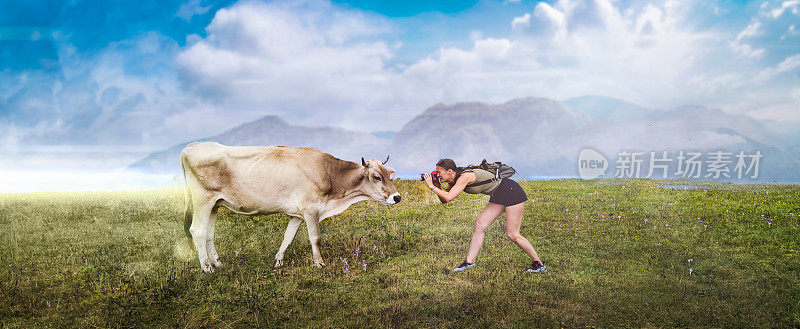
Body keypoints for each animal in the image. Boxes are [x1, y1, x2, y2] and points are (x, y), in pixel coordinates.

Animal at [177, 141, 396, 272]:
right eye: (377, 177)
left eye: (389, 174)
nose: (397, 196)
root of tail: (191, 147)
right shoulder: (311, 209)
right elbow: (315, 238)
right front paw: (319, 263)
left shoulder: (297, 213)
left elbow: (288, 237)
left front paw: (278, 261)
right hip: (203, 200)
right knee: (197, 231)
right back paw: (207, 268)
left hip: (214, 204)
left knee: (208, 233)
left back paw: (218, 263)